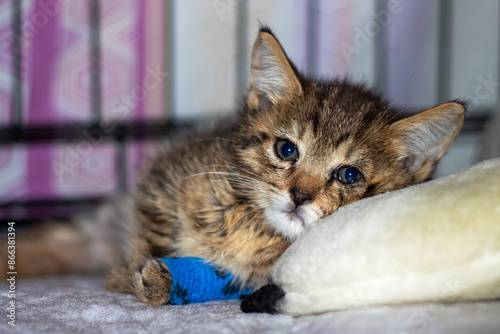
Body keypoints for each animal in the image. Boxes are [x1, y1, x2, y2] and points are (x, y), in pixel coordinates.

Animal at [104, 28, 464, 306]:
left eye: (349, 175)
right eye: (286, 150)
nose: (300, 195)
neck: (256, 228)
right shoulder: (167, 175)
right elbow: (150, 230)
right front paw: (129, 273)